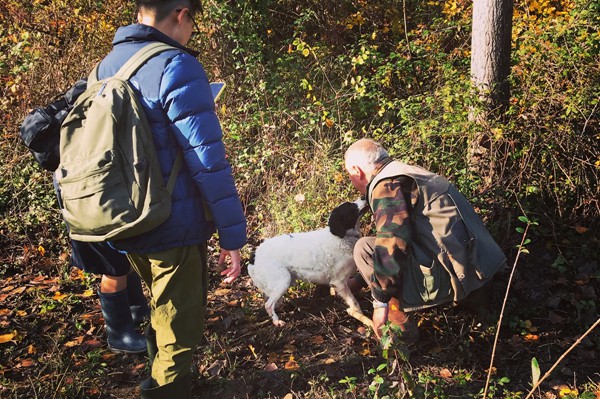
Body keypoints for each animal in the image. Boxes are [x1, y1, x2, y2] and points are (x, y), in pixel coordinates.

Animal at [246, 200, 368, 328]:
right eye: (351, 208)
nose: (364, 197)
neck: (341, 238)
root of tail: (253, 256)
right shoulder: (339, 282)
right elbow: (354, 302)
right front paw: (360, 315)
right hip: (283, 281)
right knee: (268, 305)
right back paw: (276, 321)